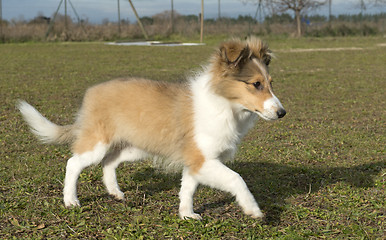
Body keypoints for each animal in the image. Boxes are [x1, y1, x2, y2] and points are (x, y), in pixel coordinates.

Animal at [18, 37, 284, 219]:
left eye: (271, 83)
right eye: (256, 84)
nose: (282, 113)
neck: (225, 104)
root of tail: (91, 93)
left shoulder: (195, 161)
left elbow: (187, 189)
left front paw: (186, 214)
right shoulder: (203, 159)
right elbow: (236, 179)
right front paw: (253, 209)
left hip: (135, 146)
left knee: (109, 162)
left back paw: (115, 192)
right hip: (98, 142)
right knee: (73, 163)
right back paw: (70, 200)